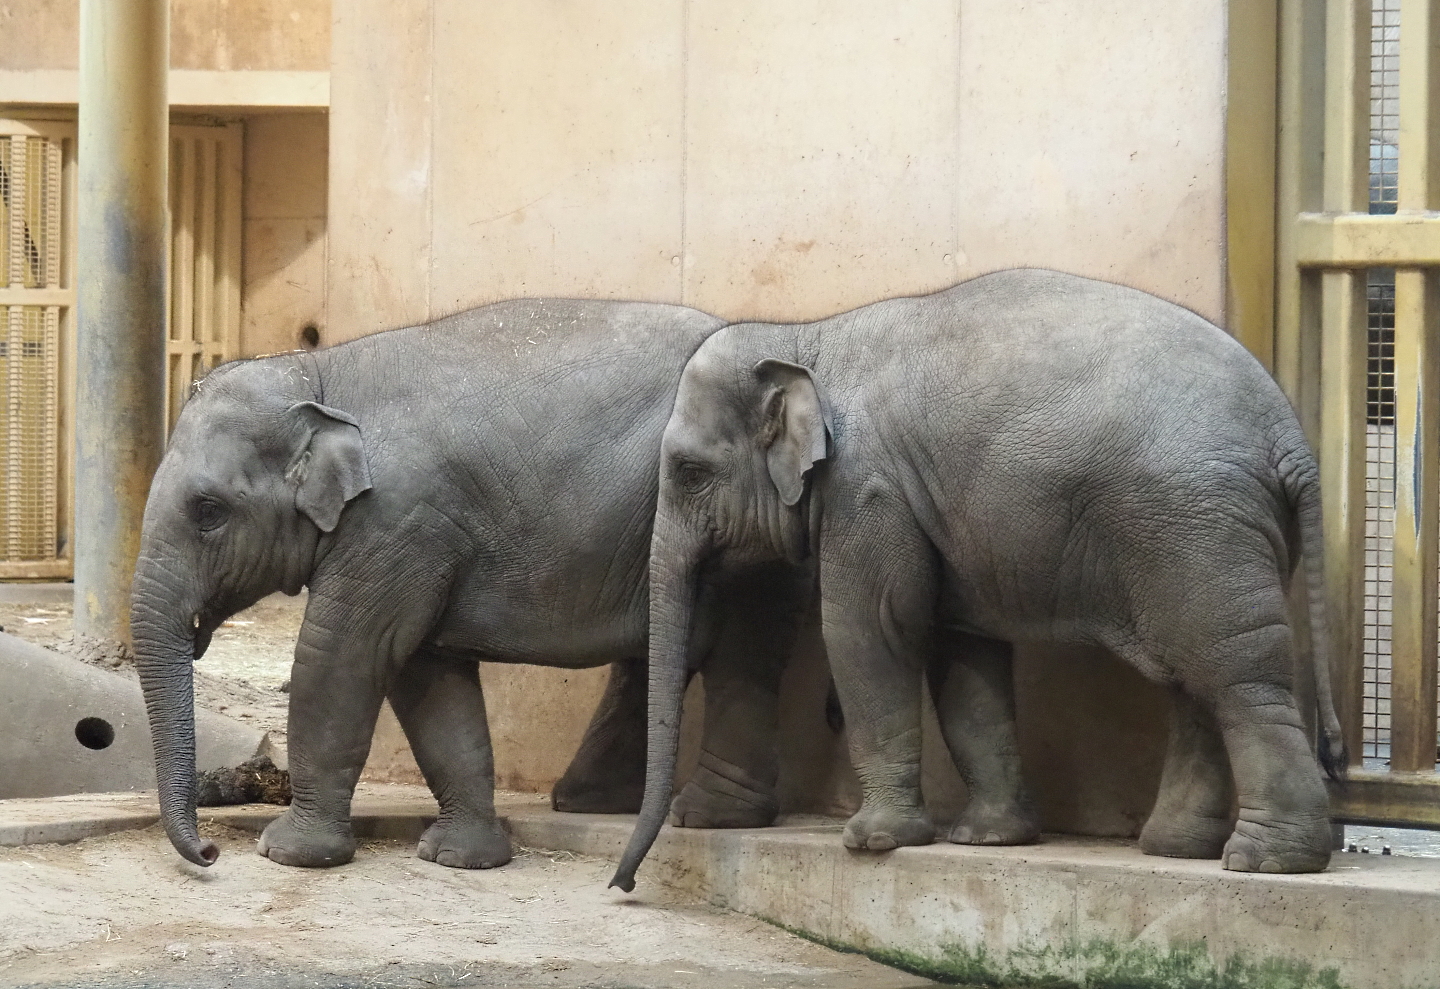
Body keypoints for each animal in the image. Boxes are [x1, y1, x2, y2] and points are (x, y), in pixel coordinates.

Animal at [131, 298, 812, 870]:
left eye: (208, 512)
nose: (211, 852)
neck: (316, 374)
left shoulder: (397, 521)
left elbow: (344, 654)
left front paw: (290, 854)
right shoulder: (423, 538)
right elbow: (428, 674)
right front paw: (460, 858)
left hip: (743, 533)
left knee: (737, 652)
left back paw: (707, 816)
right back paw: (592, 801)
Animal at [610, 268, 1346, 892]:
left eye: (688, 471)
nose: (622, 886)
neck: (805, 333)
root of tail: (1292, 441)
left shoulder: (868, 488)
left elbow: (871, 629)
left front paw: (873, 842)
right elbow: (963, 657)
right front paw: (988, 840)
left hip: (1197, 527)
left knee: (1236, 672)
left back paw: (1266, 861)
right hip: (1207, 536)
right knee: (1191, 677)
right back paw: (1176, 848)